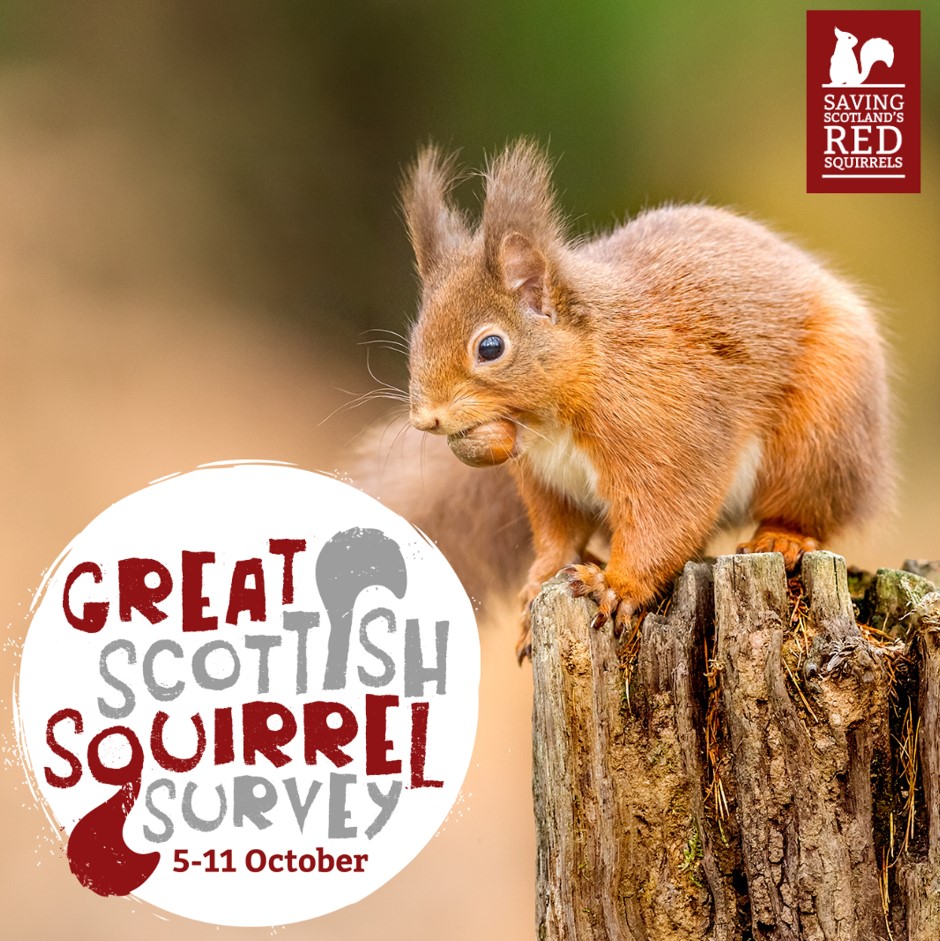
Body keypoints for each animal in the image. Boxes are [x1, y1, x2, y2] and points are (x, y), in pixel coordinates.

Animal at [375, 141, 890, 662]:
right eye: (417, 336)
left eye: (490, 347)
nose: (426, 419)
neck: (551, 421)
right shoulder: (547, 483)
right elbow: (557, 536)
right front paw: (539, 583)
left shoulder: (665, 434)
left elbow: (665, 518)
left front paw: (616, 586)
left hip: (820, 436)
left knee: (806, 507)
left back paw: (782, 536)